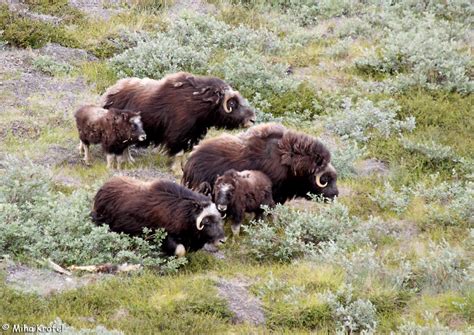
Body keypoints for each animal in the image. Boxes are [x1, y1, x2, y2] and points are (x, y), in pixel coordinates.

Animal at [93, 178, 227, 258]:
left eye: (219, 220)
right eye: (207, 221)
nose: (223, 240)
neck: (185, 213)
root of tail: (101, 190)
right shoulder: (167, 235)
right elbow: (180, 250)